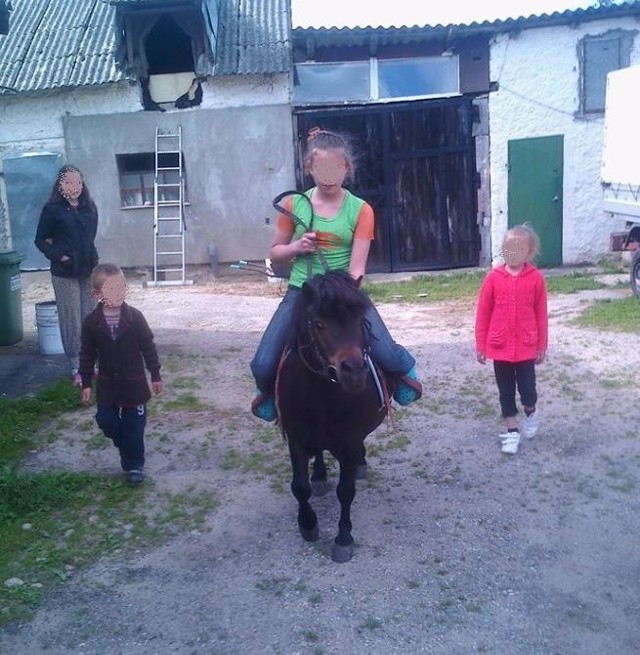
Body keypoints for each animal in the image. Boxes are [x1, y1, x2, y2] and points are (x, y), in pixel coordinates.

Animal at [276, 272, 388, 564]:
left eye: (361, 321)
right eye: (318, 324)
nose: (355, 371)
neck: (322, 394)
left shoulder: (349, 444)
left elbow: (346, 492)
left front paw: (343, 539)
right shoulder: (296, 439)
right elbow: (300, 487)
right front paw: (308, 525)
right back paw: (319, 476)